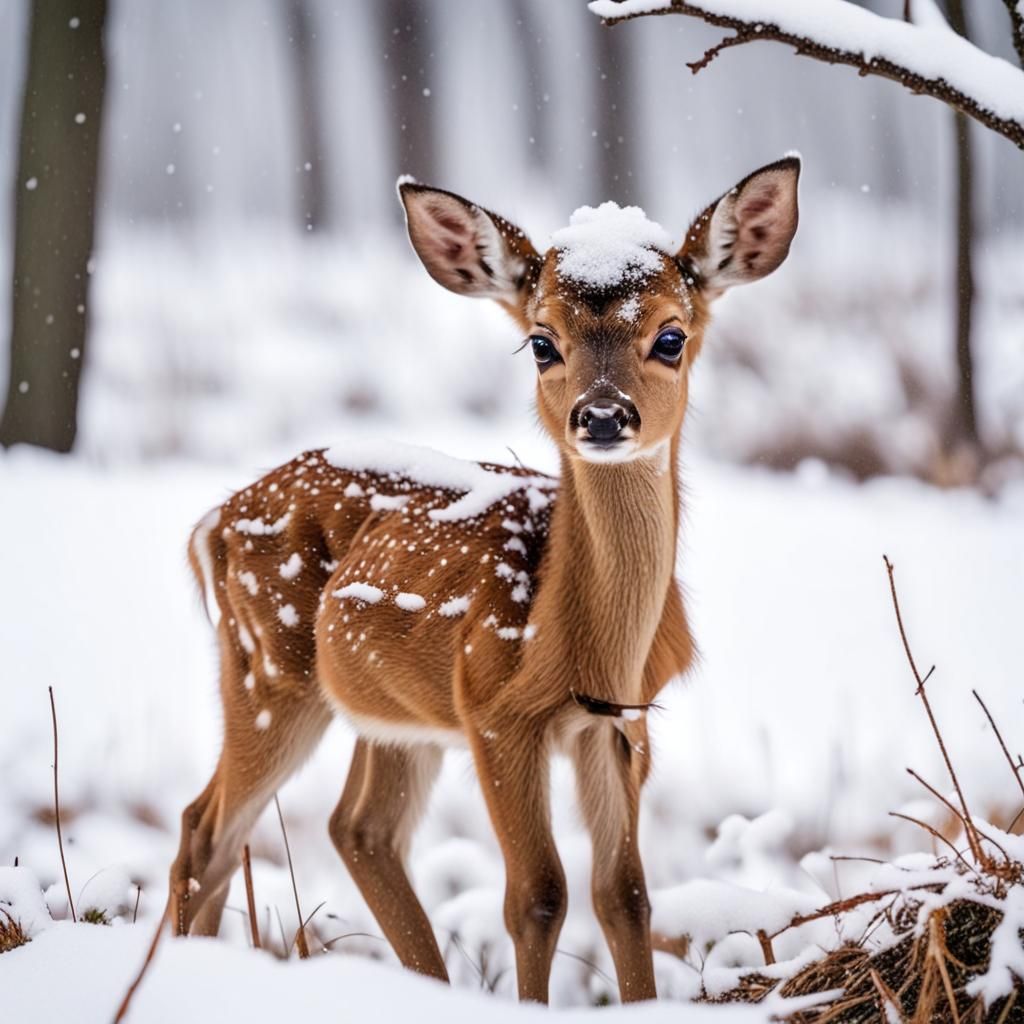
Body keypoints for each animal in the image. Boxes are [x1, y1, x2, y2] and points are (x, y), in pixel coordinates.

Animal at [168, 156, 800, 1004]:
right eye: (541, 343)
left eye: (671, 337)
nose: (603, 417)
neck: (584, 649)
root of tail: (211, 521)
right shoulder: (495, 711)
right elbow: (538, 896)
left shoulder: (621, 726)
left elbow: (624, 894)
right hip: (267, 668)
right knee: (206, 828)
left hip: (391, 712)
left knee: (356, 828)